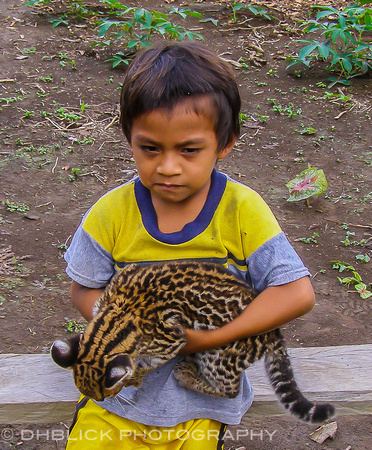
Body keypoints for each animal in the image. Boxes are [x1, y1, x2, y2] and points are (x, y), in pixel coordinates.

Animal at [51, 260, 334, 422]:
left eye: (103, 394)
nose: (100, 401)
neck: (115, 318)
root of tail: (274, 333)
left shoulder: (171, 339)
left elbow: (149, 362)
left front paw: (136, 376)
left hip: (219, 354)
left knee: (230, 390)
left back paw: (188, 375)